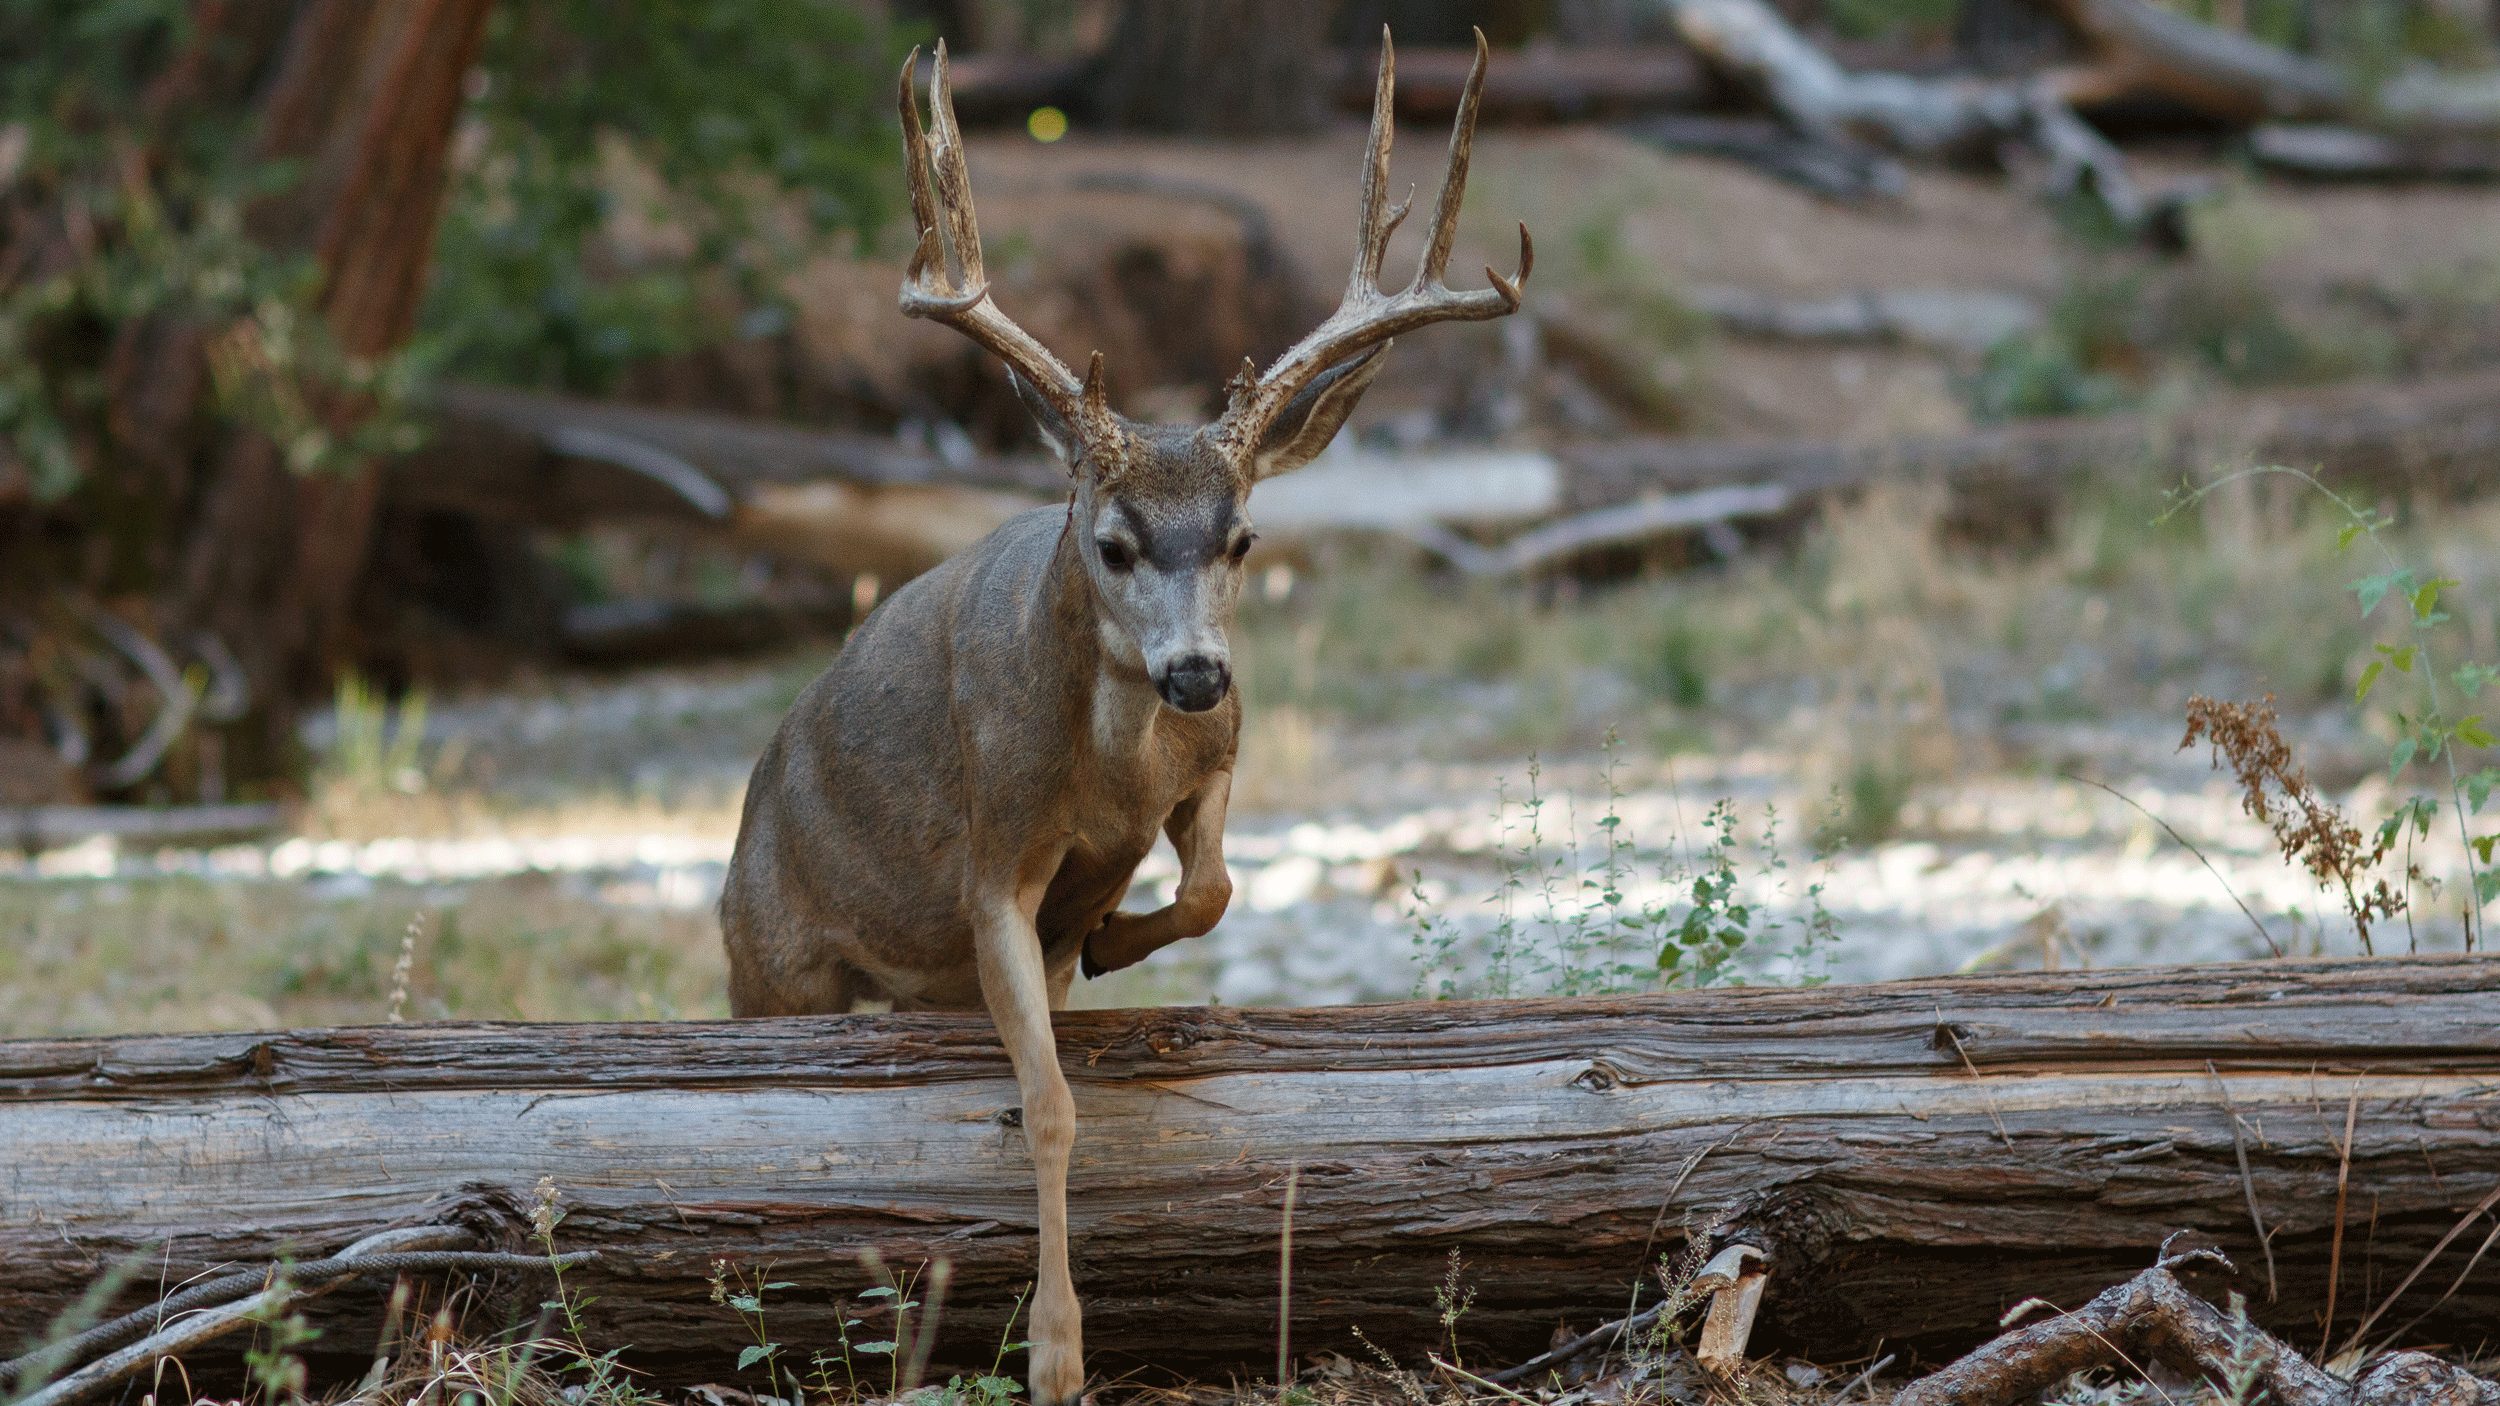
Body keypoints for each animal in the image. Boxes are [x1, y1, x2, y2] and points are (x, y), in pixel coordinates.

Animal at [719, 29, 1528, 1406]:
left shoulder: (1215, 762)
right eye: (1110, 540)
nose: (1196, 671)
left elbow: (1213, 886)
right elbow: (1047, 1105)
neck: (1106, 768)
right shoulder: (991, 855)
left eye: (1243, 535)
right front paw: (1055, 1351)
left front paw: (1111, 936)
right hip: (763, 962)